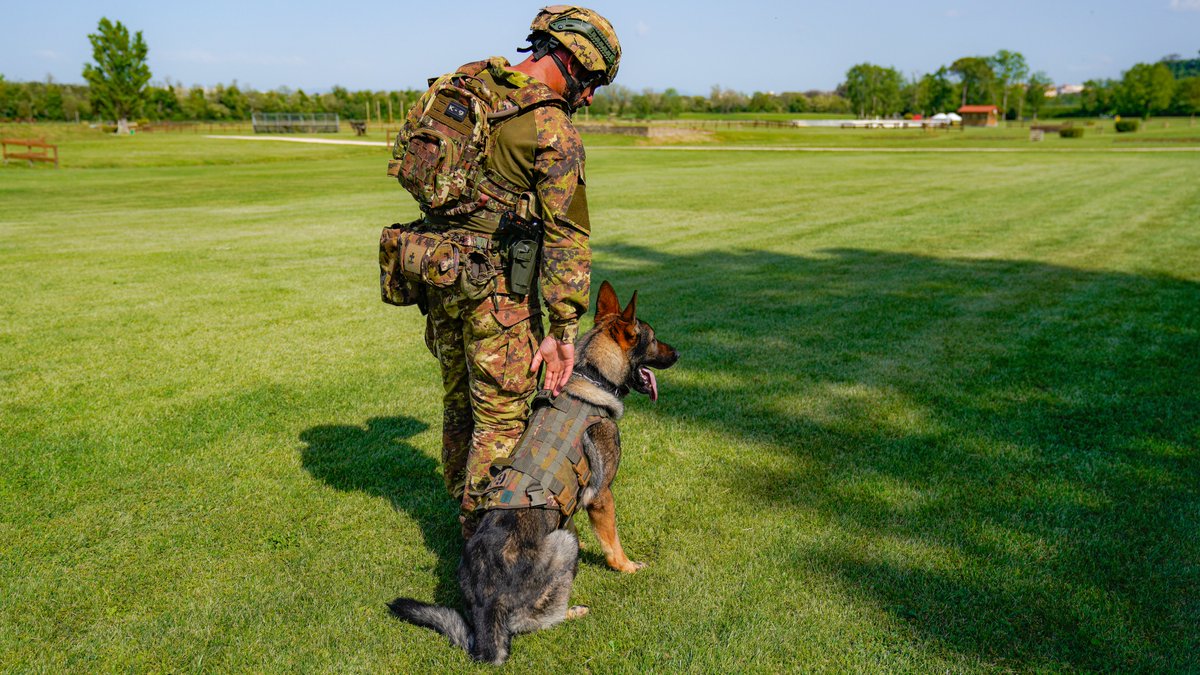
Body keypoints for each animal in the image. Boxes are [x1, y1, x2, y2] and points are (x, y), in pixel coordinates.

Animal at [388, 278, 681, 662]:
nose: (678, 354)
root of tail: (488, 609)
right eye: (654, 338)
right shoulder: (602, 497)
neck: (593, 374)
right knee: (540, 620)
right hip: (565, 544)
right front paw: (628, 567)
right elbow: (613, 543)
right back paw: (572, 611)